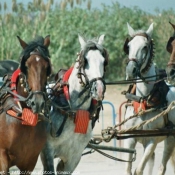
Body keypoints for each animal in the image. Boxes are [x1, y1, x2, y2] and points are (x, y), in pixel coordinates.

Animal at [40, 33, 108, 174]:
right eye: (85, 61)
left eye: (104, 61)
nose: (98, 89)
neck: (73, 112)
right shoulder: (47, 151)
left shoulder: (73, 158)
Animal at [122, 22, 175, 174]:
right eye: (128, 46)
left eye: (145, 46)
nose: (131, 70)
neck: (144, 100)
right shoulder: (130, 139)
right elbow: (128, 169)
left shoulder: (152, 141)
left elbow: (139, 170)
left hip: (170, 140)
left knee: (162, 167)